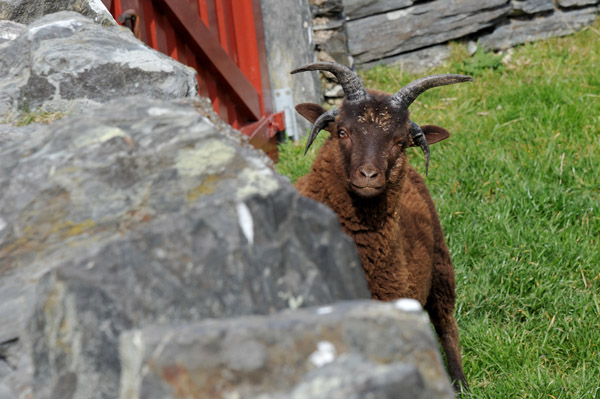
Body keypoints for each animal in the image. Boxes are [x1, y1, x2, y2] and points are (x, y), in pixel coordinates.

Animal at [292, 61, 472, 392]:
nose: (368, 175)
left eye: (400, 142)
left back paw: (459, 383)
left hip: (442, 270)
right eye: (341, 132)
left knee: (446, 325)